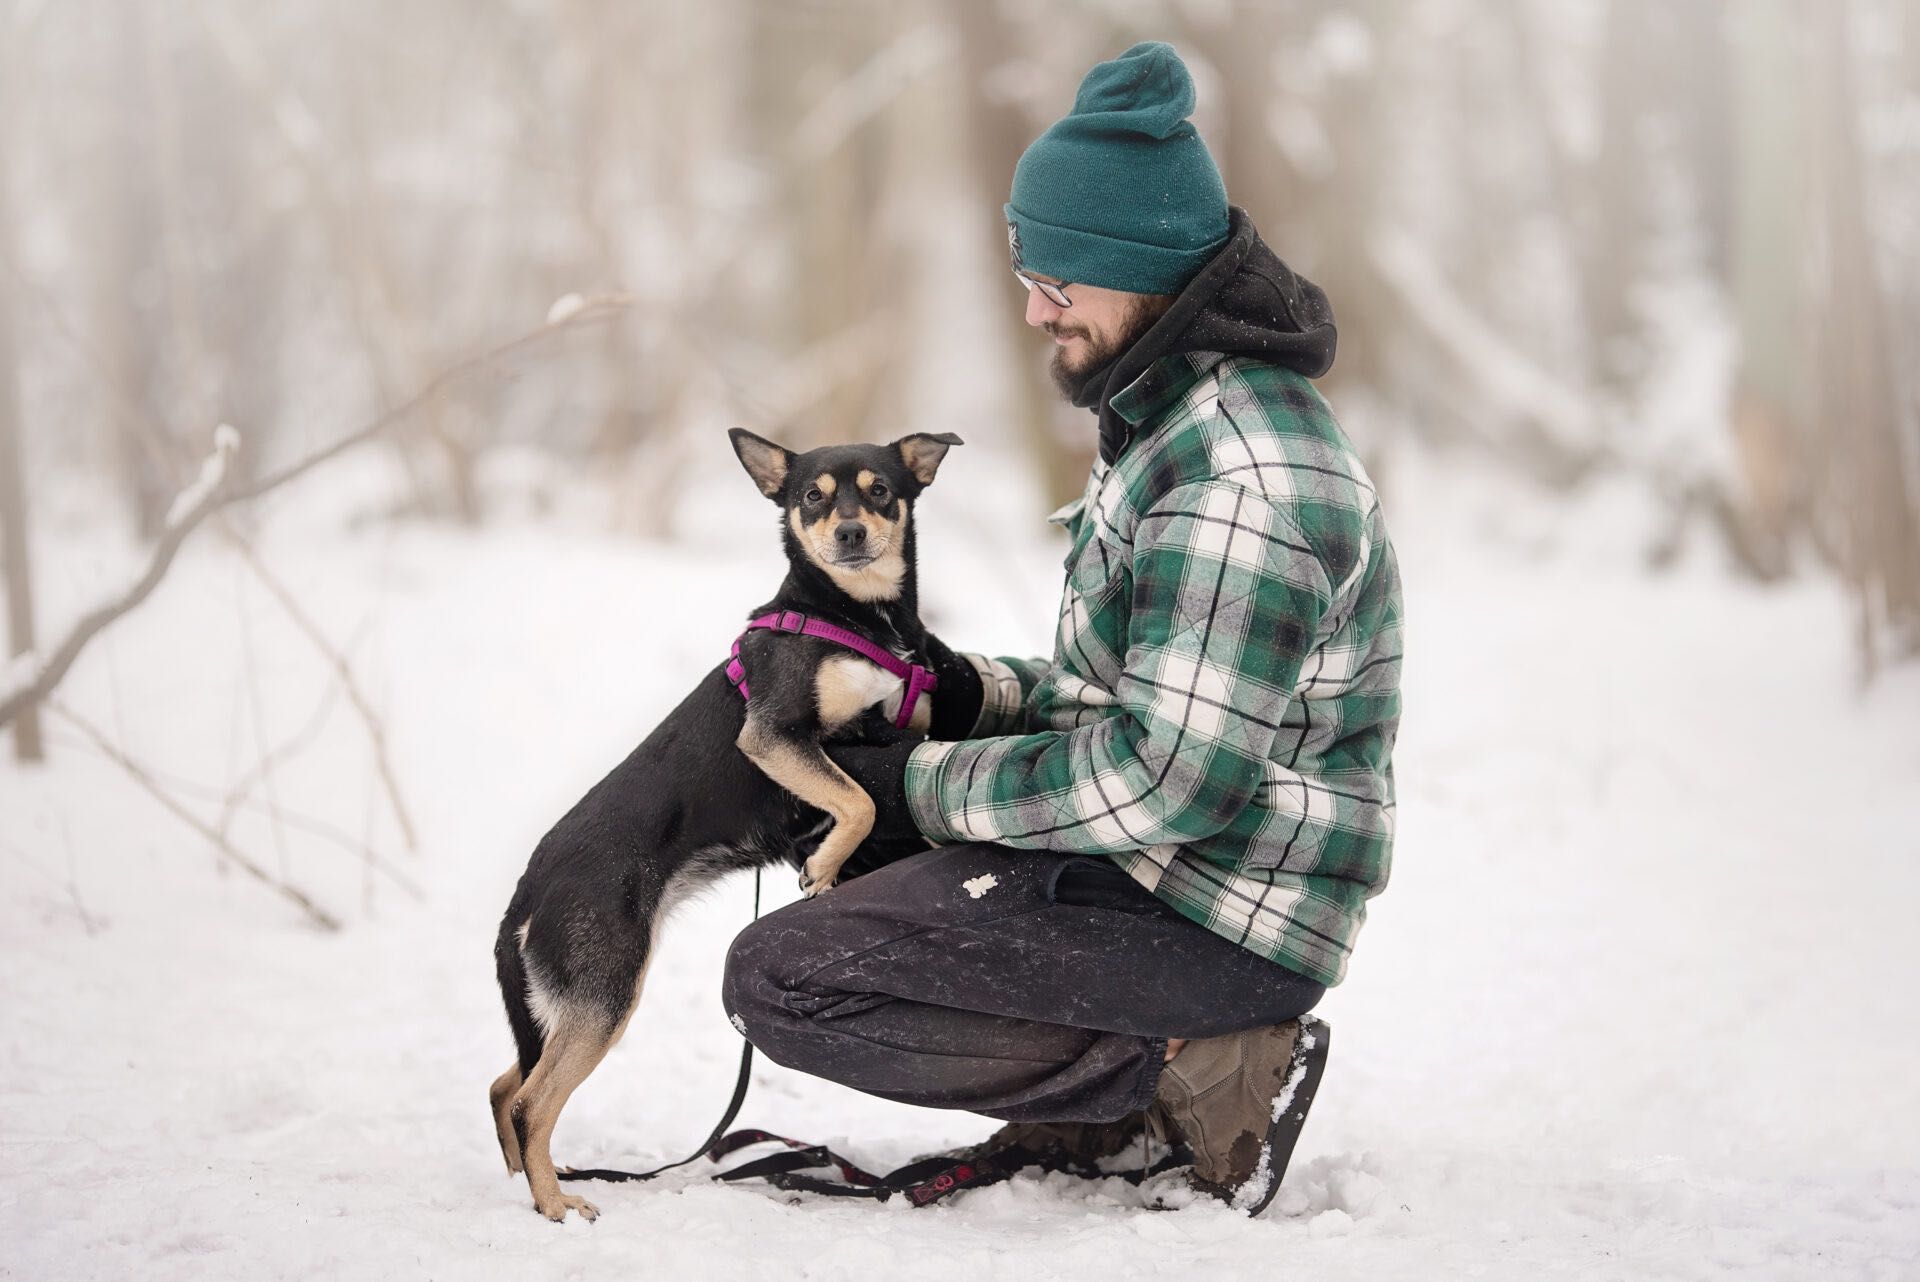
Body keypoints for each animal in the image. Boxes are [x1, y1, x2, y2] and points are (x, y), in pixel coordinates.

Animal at [483, 427, 956, 1220]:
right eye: (811, 497)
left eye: (881, 491)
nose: (850, 533)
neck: (856, 618)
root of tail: (528, 890)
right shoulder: (775, 736)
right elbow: (859, 802)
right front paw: (825, 866)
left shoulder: (900, 732)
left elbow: (875, 805)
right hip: (605, 992)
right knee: (530, 1102)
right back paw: (557, 1207)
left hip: (566, 1003)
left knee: (502, 1087)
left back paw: (531, 1186)